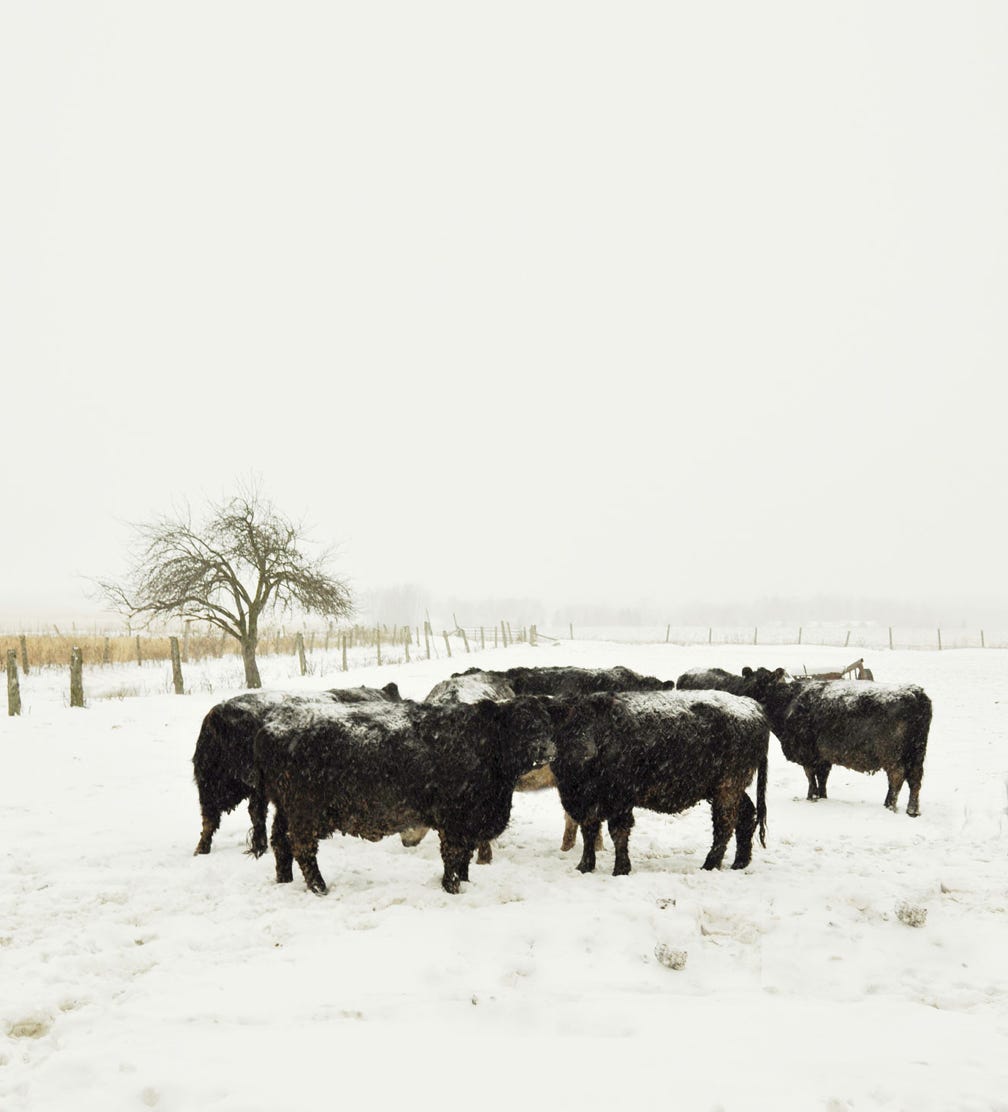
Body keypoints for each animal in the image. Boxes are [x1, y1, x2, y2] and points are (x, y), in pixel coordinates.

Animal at [254, 695, 556, 894]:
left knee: (280, 842)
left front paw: (466, 882)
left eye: (546, 721)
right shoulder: (454, 819)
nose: (547, 748)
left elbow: (465, 858)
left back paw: (284, 879)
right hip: (305, 810)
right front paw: (452, 887)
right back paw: (319, 887)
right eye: (519, 722)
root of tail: (272, 722)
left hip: (285, 808)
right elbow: (453, 855)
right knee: (302, 847)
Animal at [542, 689, 769, 876]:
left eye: (593, 724)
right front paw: (584, 867)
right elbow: (588, 832)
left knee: (725, 824)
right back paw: (739, 863)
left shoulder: (620, 800)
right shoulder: (582, 801)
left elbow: (618, 833)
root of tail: (751, 705)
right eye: (567, 726)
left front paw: (621, 869)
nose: (585, 751)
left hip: (728, 788)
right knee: (746, 815)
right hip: (728, 789)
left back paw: (709, 865)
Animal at [740, 666, 931, 815]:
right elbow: (822, 777)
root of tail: (915, 693)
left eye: (764, 682)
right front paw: (822, 797)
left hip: (892, 754)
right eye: (749, 680)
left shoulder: (807, 752)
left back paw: (890, 806)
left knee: (897, 776)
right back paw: (912, 810)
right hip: (917, 752)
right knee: (915, 778)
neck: (788, 701)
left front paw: (811, 797)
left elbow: (811, 776)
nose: (746, 697)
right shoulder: (822, 756)